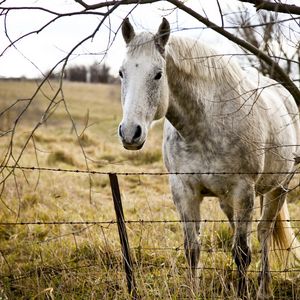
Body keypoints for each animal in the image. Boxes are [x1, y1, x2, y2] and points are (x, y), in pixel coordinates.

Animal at [117, 18, 300, 300]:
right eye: (121, 73)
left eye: (158, 74)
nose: (129, 132)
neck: (204, 126)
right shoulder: (183, 191)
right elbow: (192, 248)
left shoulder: (243, 191)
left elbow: (242, 253)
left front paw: (243, 293)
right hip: (229, 201)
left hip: (279, 189)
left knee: (263, 232)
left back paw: (263, 289)